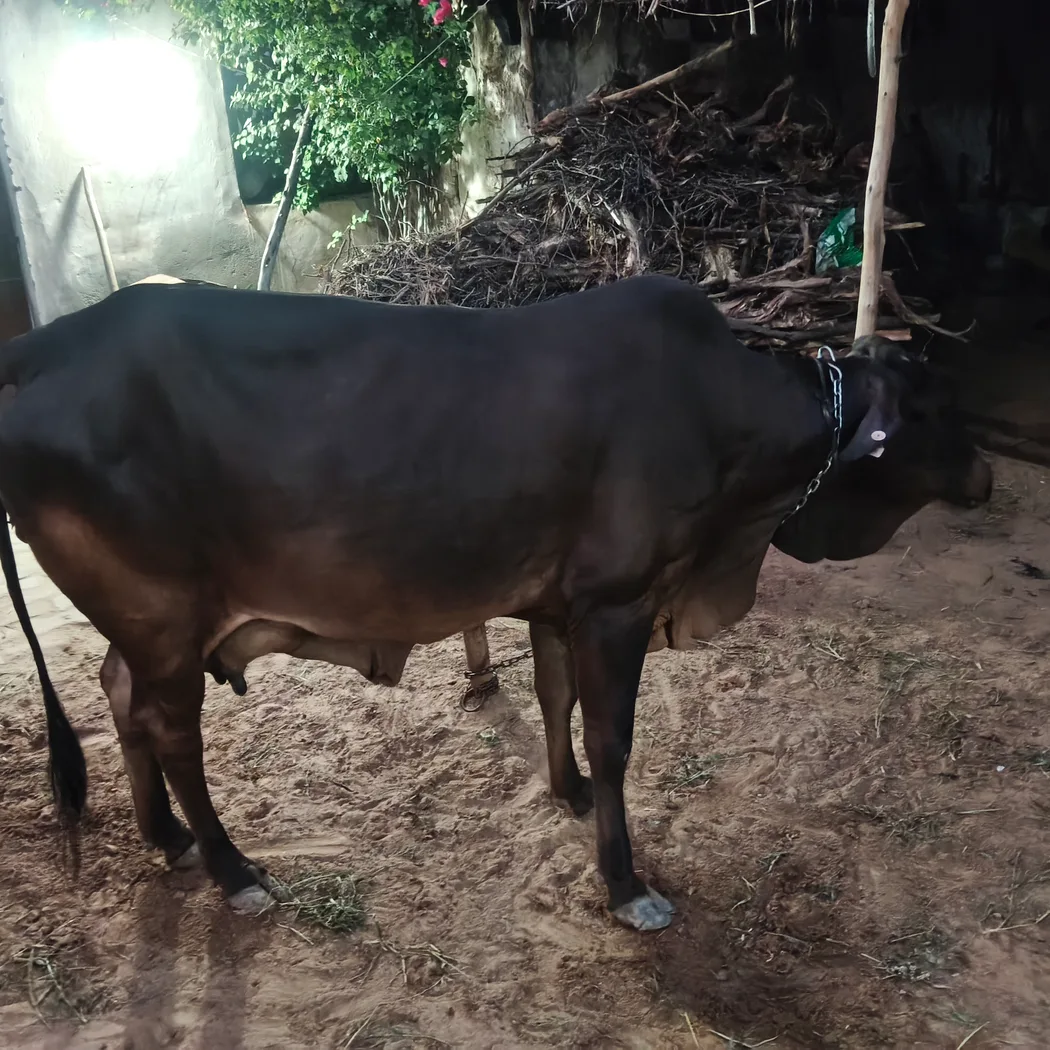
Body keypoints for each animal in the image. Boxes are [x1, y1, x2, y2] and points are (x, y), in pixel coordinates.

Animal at [0, 275, 991, 931]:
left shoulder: (555, 604)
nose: (985, 475)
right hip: (164, 617)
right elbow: (613, 736)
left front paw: (569, 791)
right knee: (172, 731)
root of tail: (47, 345)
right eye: (935, 406)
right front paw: (627, 884)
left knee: (118, 694)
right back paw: (231, 867)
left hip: (144, 624)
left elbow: (558, 700)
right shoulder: (617, 603)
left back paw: (165, 837)